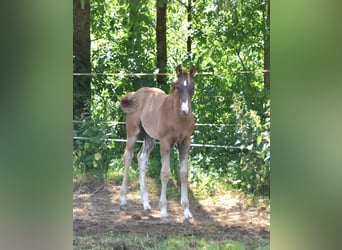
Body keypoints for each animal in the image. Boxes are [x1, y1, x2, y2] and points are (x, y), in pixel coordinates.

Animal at [119, 64, 195, 223]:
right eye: (178, 87)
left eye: (193, 87)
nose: (185, 110)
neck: (177, 117)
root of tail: (136, 93)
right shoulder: (165, 142)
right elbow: (165, 173)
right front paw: (164, 212)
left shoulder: (185, 142)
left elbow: (184, 173)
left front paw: (187, 213)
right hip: (133, 131)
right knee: (128, 156)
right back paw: (123, 201)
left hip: (149, 136)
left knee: (142, 158)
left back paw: (146, 205)